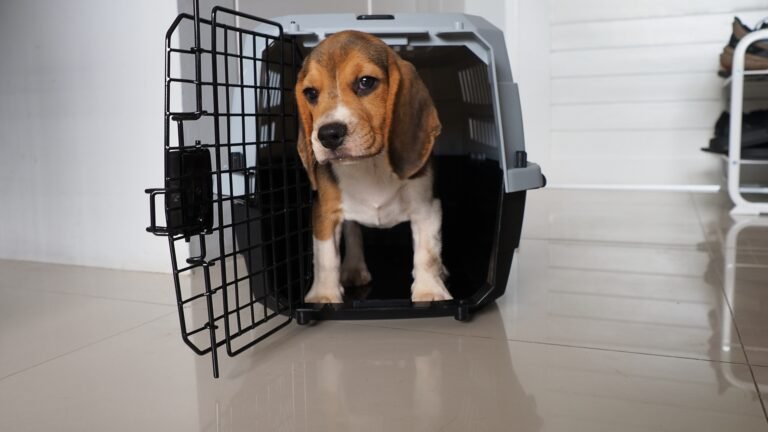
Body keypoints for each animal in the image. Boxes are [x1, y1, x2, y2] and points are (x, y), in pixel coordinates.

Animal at [292, 30, 450, 304]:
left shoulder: (427, 207)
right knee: (353, 233)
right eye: (310, 93)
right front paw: (323, 295)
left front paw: (429, 290)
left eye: (366, 82)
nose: (328, 135)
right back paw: (354, 269)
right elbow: (325, 258)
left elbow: (427, 254)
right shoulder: (325, 212)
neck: (371, 165)